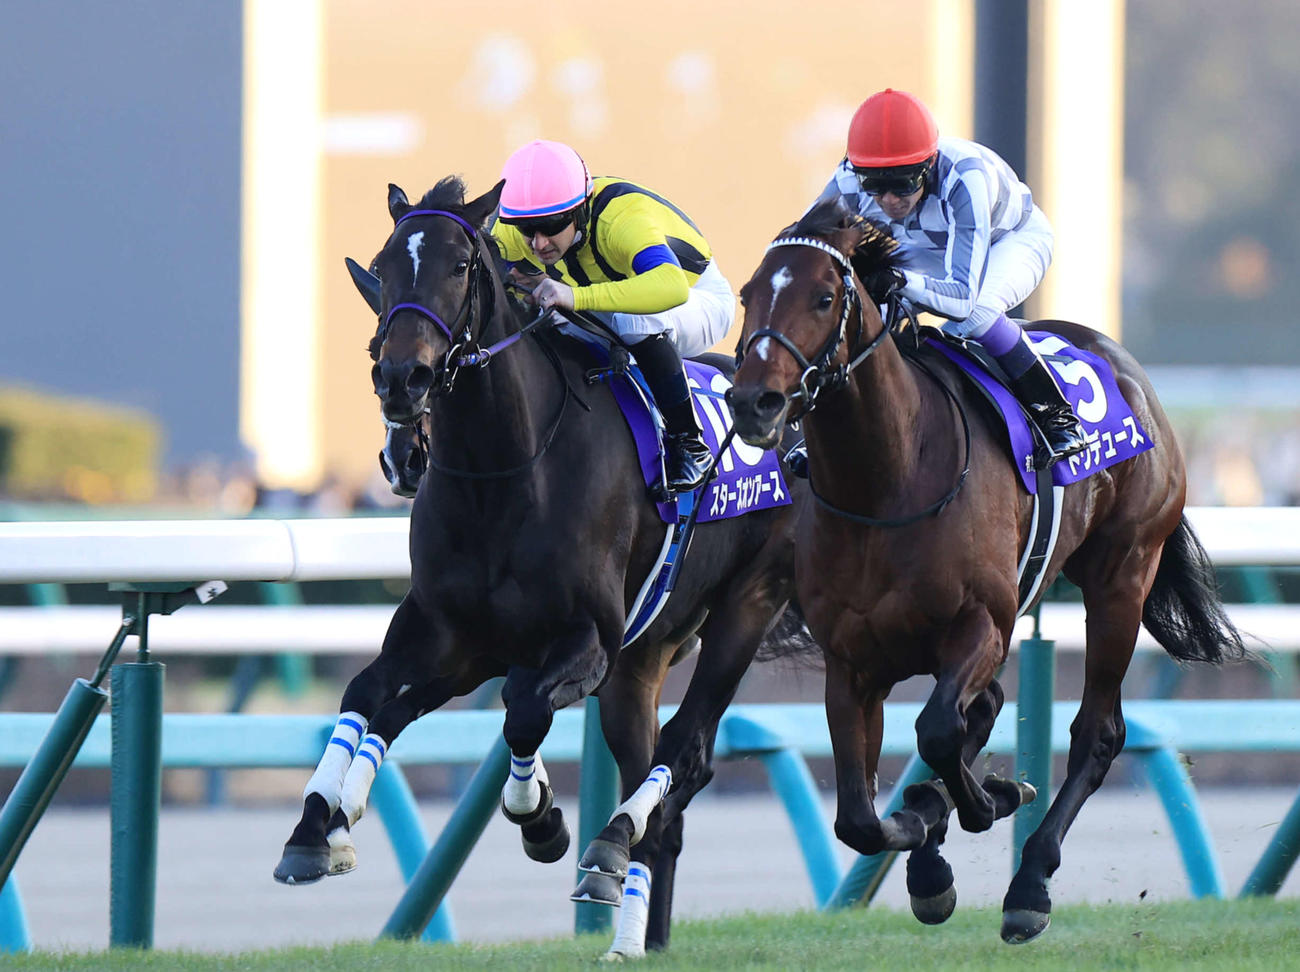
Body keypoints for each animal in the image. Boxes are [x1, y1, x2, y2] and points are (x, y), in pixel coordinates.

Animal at [274, 175, 810, 958]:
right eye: (382, 265)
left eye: (459, 266)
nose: (403, 379)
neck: (505, 472)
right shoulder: (451, 630)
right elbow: (369, 695)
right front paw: (317, 827)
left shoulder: (584, 637)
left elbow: (522, 710)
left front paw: (543, 819)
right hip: (640, 661)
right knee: (658, 794)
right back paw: (637, 933)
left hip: (745, 608)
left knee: (682, 752)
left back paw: (613, 851)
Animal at [727, 198, 1247, 943]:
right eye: (747, 295)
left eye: (824, 297)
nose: (753, 403)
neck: (888, 481)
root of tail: (1127, 367)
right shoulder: (852, 660)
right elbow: (860, 816)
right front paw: (926, 842)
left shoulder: (983, 624)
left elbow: (939, 733)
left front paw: (987, 803)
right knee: (987, 710)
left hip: (1121, 576)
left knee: (1096, 732)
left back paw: (1029, 882)